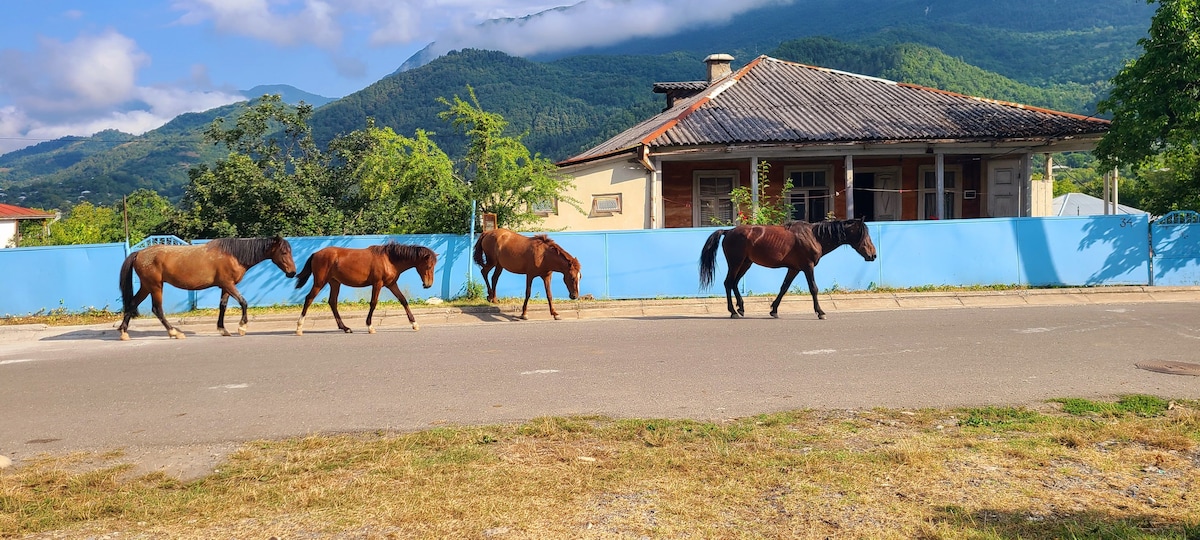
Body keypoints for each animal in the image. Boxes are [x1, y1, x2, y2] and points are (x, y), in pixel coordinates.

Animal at [115, 234, 298, 340]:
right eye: (283, 252)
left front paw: (223, 329)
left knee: (132, 303)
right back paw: (174, 332)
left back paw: (124, 332)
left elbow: (223, 306)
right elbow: (244, 302)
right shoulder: (229, 284)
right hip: (155, 286)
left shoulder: (225, 287)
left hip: (147, 286)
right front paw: (242, 326)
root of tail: (139, 253)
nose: (292, 272)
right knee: (157, 309)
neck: (233, 255)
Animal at [294, 242, 436, 336]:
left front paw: (414, 324)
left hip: (335, 283)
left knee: (332, 302)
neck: (389, 259)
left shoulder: (391, 284)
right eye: (428, 266)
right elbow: (373, 303)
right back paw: (299, 328)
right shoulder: (377, 283)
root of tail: (315, 254)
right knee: (309, 299)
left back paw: (345, 328)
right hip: (320, 282)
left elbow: (403, 300)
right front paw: (370, 326)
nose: (428, 285)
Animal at [700, 219, 878, 321]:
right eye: (863, 235)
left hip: (746, 263)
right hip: (736, 262)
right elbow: (814, 288)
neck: (813, 236)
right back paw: (733, 311)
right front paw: (820, 312)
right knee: (728, 282)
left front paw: (774, 310)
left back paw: (741, 308)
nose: (873, 255)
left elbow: (784, 288)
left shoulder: (794, 269)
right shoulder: (807, 267)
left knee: (734, 283)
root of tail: (728, 231)